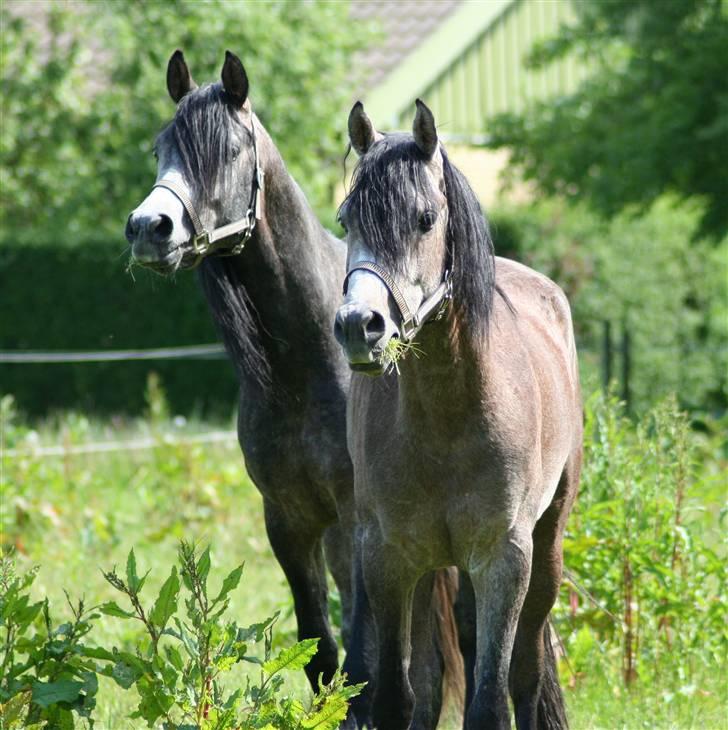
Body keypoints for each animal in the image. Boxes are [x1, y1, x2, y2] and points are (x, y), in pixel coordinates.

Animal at [334, 98, 580, 728]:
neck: (449, 414)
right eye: (346, 221)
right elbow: (398, 695)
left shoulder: (502, 562)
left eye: (425, 219)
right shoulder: (389, 560)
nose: (357, 326)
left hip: (544, 551)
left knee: (525, 673)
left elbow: (492, 698)